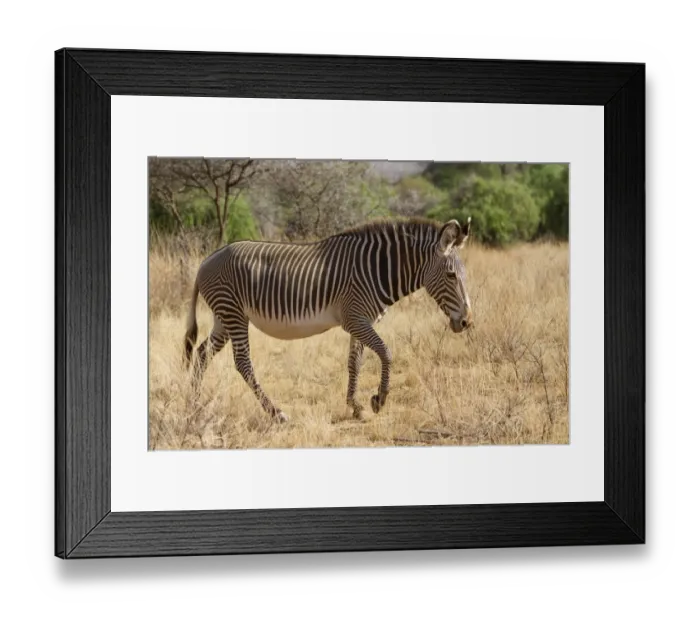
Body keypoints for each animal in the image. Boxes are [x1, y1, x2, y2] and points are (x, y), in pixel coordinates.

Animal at [183, 216, 474, 423]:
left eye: (463, 275)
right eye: (451, 275)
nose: (467, 322)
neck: (377, 270)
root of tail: (206, 261)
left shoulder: (361, 320)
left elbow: (355, 362)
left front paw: (355, 407)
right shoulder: (354, 318)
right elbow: (386, 352)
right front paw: (379, 400)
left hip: (225, 317)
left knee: (201, 354)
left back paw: (194, 406)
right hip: (233, 313)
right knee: (242, 362)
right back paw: (276, 413)